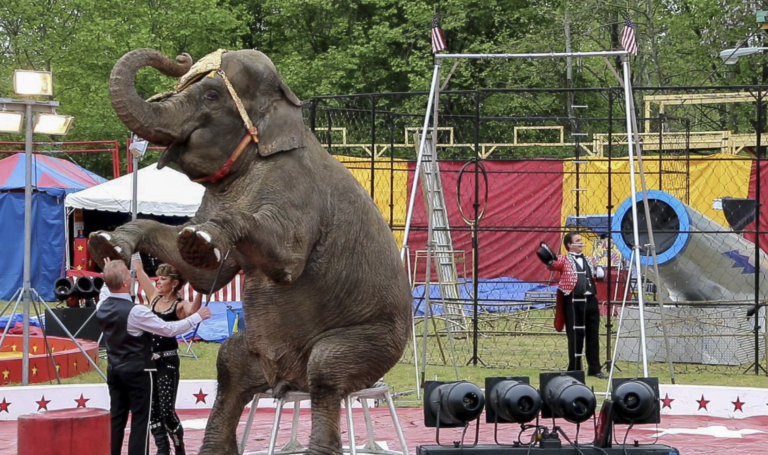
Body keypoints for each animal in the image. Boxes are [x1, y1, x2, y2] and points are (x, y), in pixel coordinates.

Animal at [89, 49, 414, 455]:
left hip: (376, 342)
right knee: (230, 364)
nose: (181, 58)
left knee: (326, 370)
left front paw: (200, 240)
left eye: (211, 96)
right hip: (263, 357)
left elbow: (286, 261)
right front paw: (109, 242)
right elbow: (204, 275)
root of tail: (290, 382)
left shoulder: (298, 191)